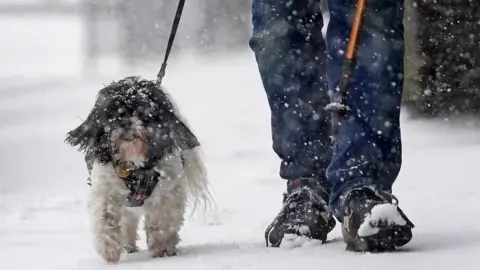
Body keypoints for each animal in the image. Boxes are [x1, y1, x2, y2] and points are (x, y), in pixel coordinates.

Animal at [65, 76, 210, 264]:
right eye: (114, 113)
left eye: (142, 112)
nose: (126, 123)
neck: (134, 164)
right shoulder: (106, 189)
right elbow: (105, 218)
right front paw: (109, 249)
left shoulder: (168, 192)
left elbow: (162, 220)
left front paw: (162, 248)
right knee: (127, 221)